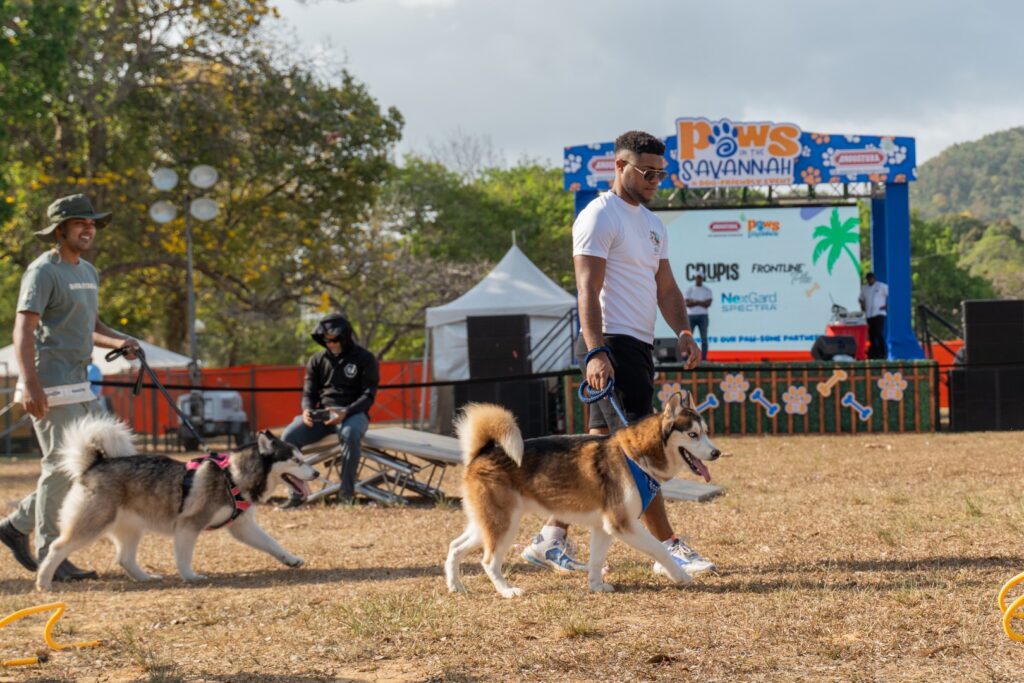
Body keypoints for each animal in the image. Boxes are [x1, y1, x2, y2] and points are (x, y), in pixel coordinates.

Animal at [36, 414, 319, 591]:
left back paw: (146, 577)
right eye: (296, 461)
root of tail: (93, 464)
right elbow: (184, 556)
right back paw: (44, 582)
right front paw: (190, 576)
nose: (316, 473)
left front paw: (290, 559)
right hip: (92, 524)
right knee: (57, 547)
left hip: (131, 528)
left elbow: (272, 543)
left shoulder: (243, 527)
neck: (232, 476)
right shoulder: (188, 526)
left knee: (124, 558)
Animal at [445, 392, 720, 598]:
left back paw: (455, 585)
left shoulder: (604, 527)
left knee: (455, 547)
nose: (717, 452)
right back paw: (507, 590)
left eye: (707, 432)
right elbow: (660, 550)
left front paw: (596, 586)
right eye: (693, 434)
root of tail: (482, 452)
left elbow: (596, 560)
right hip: (505, 525)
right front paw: (681, 576)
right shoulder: (624, 525)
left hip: (486, 524)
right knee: (488, 561)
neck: (635, 457)